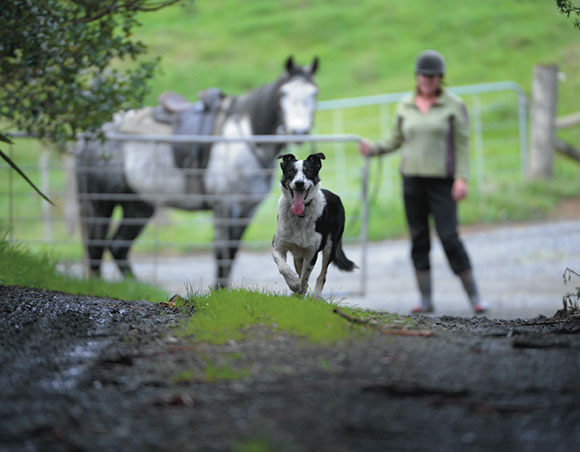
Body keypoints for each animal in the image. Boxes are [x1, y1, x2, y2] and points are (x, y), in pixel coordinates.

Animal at [75, 55, 320, 286]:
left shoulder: (246, 211)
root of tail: (95, 132)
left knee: (118, 246)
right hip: (101, 203)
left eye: (314, 94)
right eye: (284, 93)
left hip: (138, 206)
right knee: (96, 246)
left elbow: (232, 253)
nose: (299, 132)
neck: (243, 141)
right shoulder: (224, 208)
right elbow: (222, 254)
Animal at [274, 154, 358, 298]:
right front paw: (294, 284)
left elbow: (305, 277)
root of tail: (336, 196)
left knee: (322, 274)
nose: (299, 183)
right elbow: (283, 267)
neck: (300, 216)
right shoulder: (278, 246)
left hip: (330, 246)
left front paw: (299, 287)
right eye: (291, 172)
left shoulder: (311, 253)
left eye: (308, 172)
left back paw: (315, 296)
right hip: (298, 255)